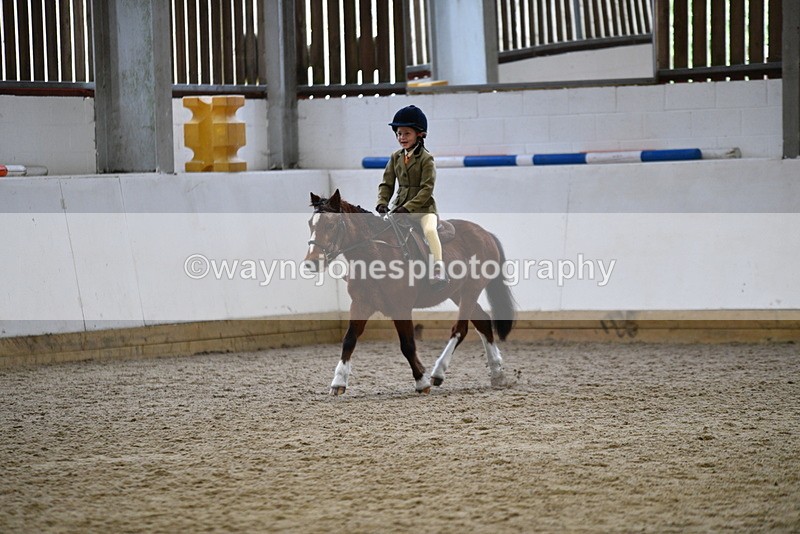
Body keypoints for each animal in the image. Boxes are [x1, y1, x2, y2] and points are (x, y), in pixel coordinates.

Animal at [305, 189, 515, 395]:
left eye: (331, 225)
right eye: (310, 224)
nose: (312, 262)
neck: (375, 253)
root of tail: (484, 233)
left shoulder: (401, 308)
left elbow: (407, 344)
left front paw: (421, 381)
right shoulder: (360, 304)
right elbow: (349, 339)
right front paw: (338, 381)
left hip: (471, 289)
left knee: (460, 330)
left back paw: (438, 372)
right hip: (458, 292)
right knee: (483, 321)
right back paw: (497, 373)